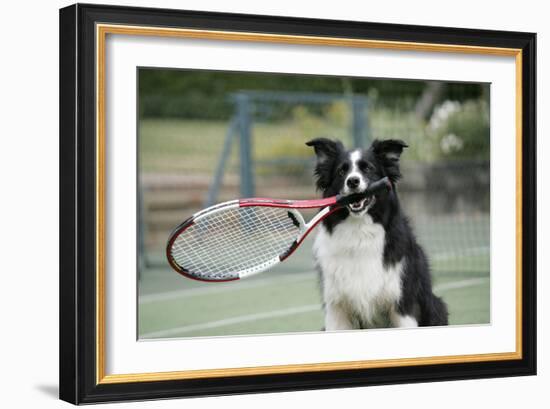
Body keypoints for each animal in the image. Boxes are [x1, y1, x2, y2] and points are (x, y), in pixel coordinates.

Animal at [306, 137, 448, 328]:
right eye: (341, 171)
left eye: (368, 168)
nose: (353, 181)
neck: (359, 232)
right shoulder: (336, 309)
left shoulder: (402, 306)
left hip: (436, 307)